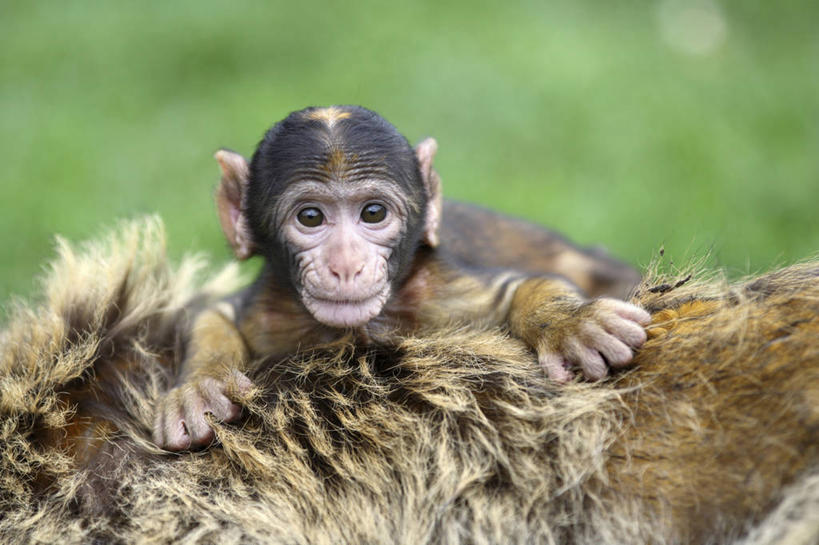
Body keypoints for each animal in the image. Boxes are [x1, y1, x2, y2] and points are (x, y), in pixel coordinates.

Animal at [154, 106, 652, 450]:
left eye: (373, 213)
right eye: (310, 217)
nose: (346, 264)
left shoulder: (441, 293)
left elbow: (522, 287)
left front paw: (572, 322)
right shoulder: (269, 310)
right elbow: (214, 314)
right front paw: (200, 386)